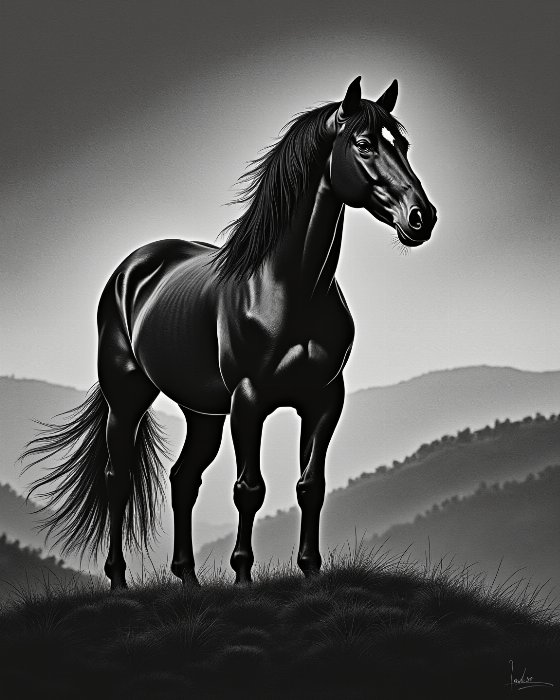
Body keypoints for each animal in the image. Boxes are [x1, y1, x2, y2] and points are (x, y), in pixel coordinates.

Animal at [22, 77, 437, 589]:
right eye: (363, 144)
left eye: (403, 145)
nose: (421, 217)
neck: (289, 289)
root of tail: (132, 268)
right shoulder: (249, 400)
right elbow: (248, 489)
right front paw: (242, 576)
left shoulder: (324, 400)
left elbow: (311, 486)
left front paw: (311, 572)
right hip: (127, 398)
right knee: (118, 478)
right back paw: (118, 580)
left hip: (202, 412)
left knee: (183, 479)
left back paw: (189, 578)